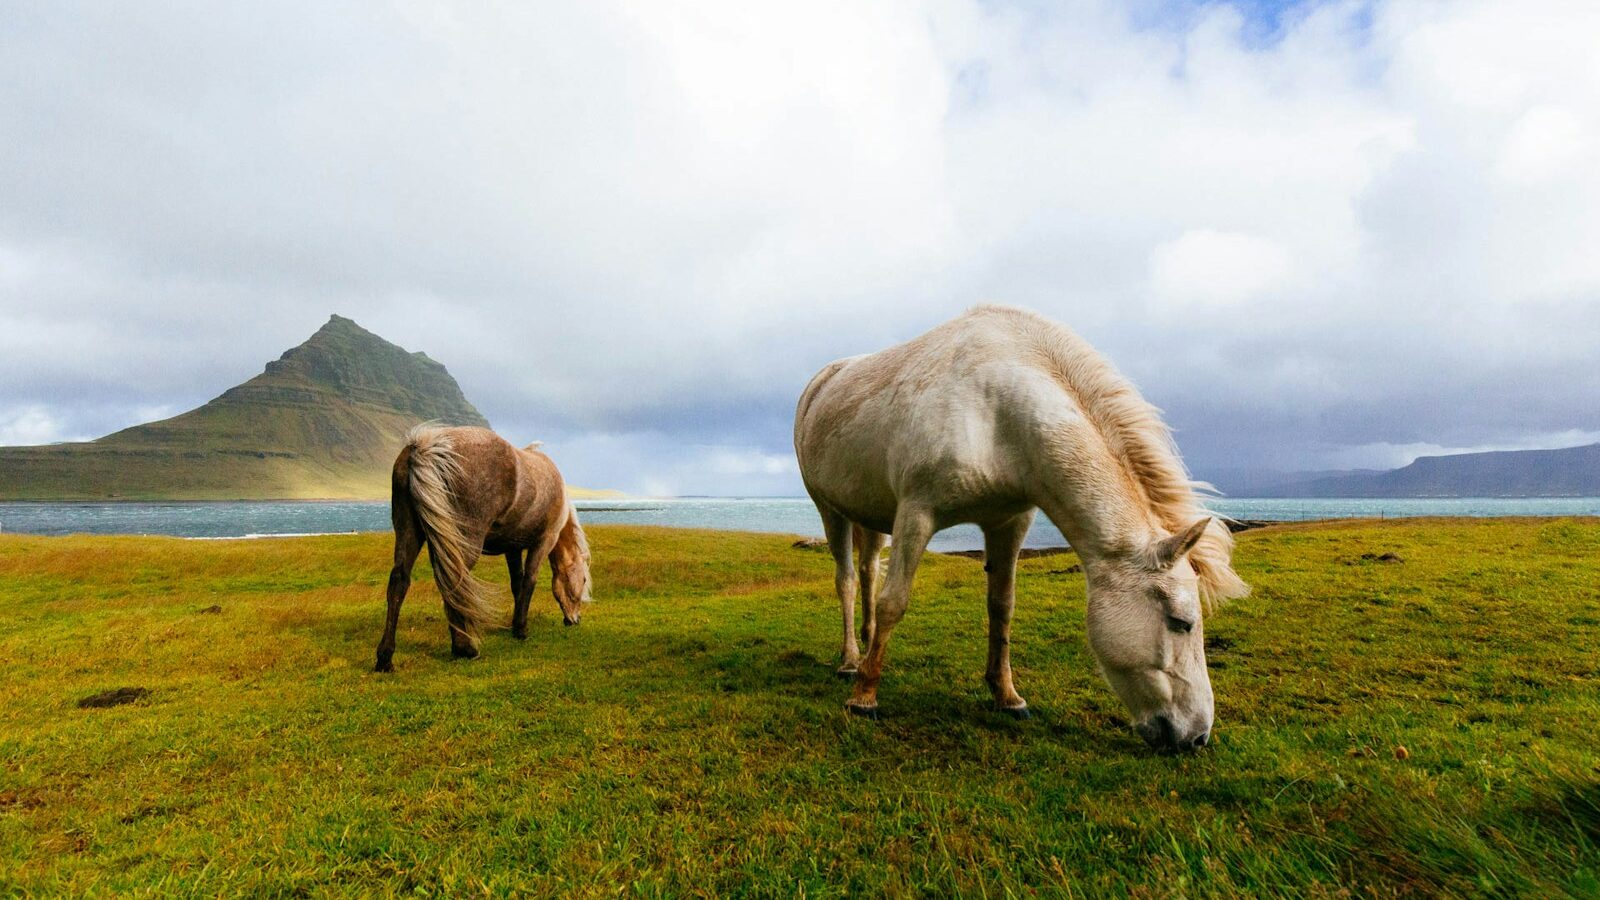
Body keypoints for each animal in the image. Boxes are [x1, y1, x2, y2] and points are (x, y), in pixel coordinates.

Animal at [374, 425, 592, 673]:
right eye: (583, 580)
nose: (575, 619)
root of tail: (427, 446)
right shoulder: (543, 541)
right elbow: (529, 582)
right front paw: (521, 629)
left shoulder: (512, 548)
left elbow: (517, 584)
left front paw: (514, 626)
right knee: (455, 583)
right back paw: (465, 648)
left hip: (409, 532)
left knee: (399, 581)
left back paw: (385, 658)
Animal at [794, 305, 1248, 751]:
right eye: (1181, 622)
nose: (1197, 736)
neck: (998, 412)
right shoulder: (916, 514)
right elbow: (895, 602)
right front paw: (864, 698)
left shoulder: (1009, 522)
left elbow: (1002, 608)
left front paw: (1007, 696)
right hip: (830, 509)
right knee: (848, 580)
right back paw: (852, 661)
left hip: (871, 516)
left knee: (869, 571)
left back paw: (867, 644)